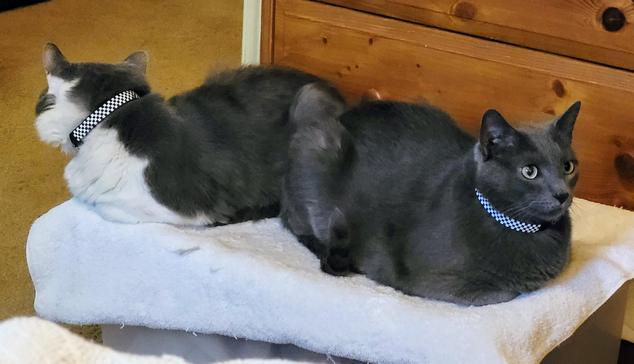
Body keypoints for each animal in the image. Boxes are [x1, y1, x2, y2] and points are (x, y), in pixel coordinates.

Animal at [284, 84, 580, 306]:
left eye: (568, 166)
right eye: (529, 171)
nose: (561, 194)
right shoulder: (439, 282)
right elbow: (506, 292)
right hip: (317, 147)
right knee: (295, 226)